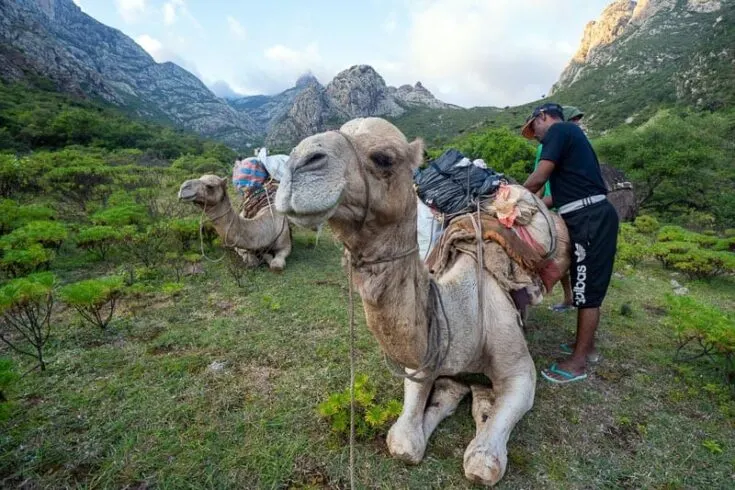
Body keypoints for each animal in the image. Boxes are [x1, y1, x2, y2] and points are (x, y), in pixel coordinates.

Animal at [274, 117, 536, 484]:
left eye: (384, 158)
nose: (298, 164)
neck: (466, 310)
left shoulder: (519, 366)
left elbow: (483, 464)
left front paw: (483, 426)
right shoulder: (427, 356)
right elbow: (404, 442)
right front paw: (448, 401)